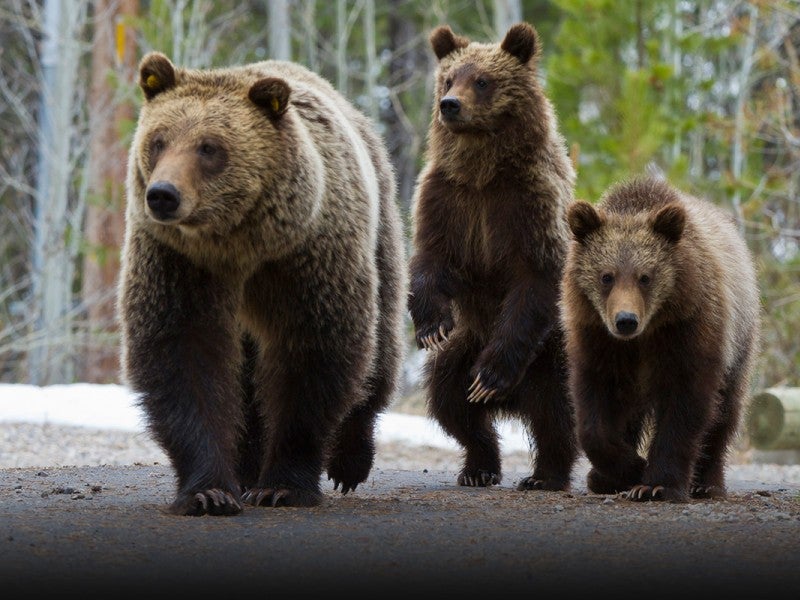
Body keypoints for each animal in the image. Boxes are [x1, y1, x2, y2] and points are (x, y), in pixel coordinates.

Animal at [117, 52, 406, 516]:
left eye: (209, 147)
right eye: (158, 141)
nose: (163, 194)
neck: (240, 244)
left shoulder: (305, 258)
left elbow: (314, 352)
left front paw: (284, 486)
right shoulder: (179, 262)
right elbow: (183, 354)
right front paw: (208, 492)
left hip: (379, 232)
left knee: (381, 346)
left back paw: (350, 460)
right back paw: (247, 467)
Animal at [410, 22, 580, 492]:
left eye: (483, 80)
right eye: (449, 78)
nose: (450, 105)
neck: (483, 172)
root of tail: (514, 402)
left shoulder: (529, 204)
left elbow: (535, 277)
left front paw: (490, 376)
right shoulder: (447, 197)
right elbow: (431, 258)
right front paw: (431, 325)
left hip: (554, 354)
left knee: (556, 412)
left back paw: (544, 474)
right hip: (465, 346)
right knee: (451, 402)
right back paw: (478, 466)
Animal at [564, 177, 764, 502]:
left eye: (645, 276)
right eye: (607, 276)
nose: (626, 320)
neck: (646, 333)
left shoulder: (688, 329)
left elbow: (684, 404)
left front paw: (655, 483)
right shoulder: (597, 337)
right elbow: (594, 408)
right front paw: (629, 467)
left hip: (741, 339)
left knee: (726, 411)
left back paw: (706, 483)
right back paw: (602, 478)